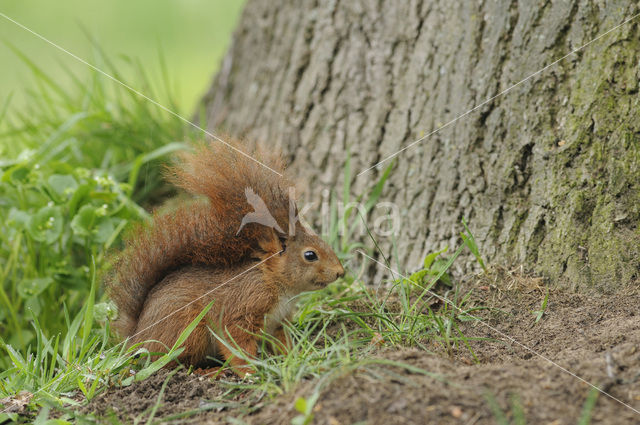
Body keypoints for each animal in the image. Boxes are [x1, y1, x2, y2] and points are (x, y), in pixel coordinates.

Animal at [107, 142, 344, 374]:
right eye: (310, 255)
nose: (340, 272)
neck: (275, 282)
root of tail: (137, 336)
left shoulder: (278, 323)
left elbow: (282, 342)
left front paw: (293, 358)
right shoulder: (243, 306)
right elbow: (236, 342)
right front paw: (250, 371)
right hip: (187, 330)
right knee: (171, 364)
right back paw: (207, 372)